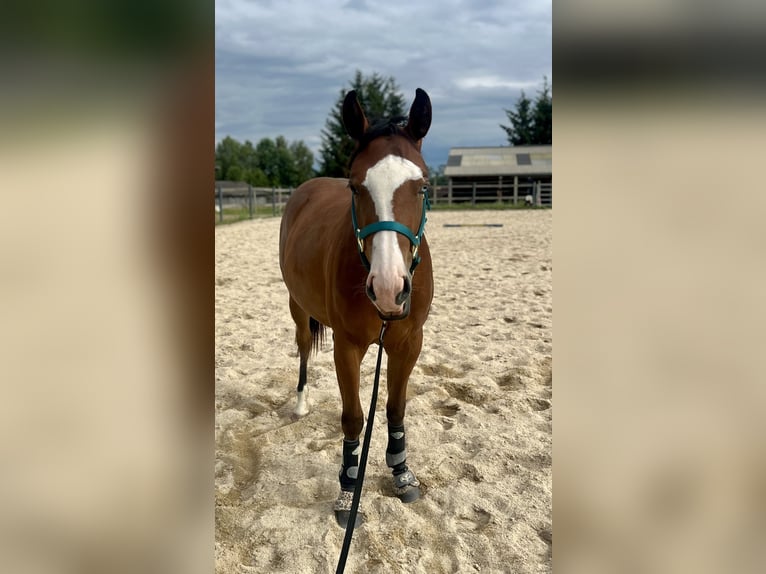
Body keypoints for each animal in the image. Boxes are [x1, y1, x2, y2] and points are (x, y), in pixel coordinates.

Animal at [280, 88, 438, 528]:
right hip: (297, 306)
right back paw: (301, 402)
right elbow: (353, 416)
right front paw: (349, 491)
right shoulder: (346, 345)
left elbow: (396, 408)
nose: (388, 288)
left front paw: (402, 473)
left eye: (422, 186)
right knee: (303, 347)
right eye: (355, 188)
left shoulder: (409, 343)